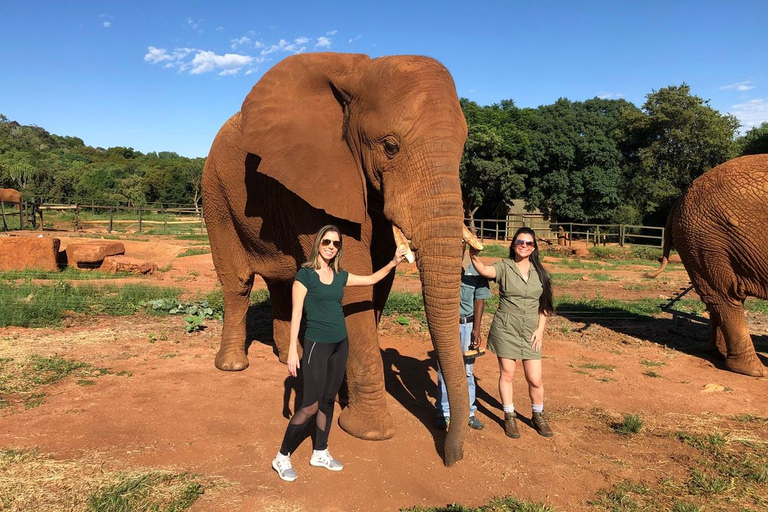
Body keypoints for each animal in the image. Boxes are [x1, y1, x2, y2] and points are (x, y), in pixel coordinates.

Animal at [652, 153, 768, 376]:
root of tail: (679, 200)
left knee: (723, 295)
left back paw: (718, 355)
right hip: (707, 237)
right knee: (726, 294)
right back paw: (754, 371)